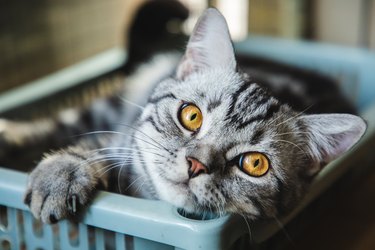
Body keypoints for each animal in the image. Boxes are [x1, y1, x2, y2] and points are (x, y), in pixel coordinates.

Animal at [0, 7, 366, 224]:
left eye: (255, 163)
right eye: (191, 116)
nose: (196, 164)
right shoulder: (121, 139)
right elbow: (90, 148)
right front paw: (62, 173)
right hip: (106, 107)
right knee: (58, 123)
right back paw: (10, 135)